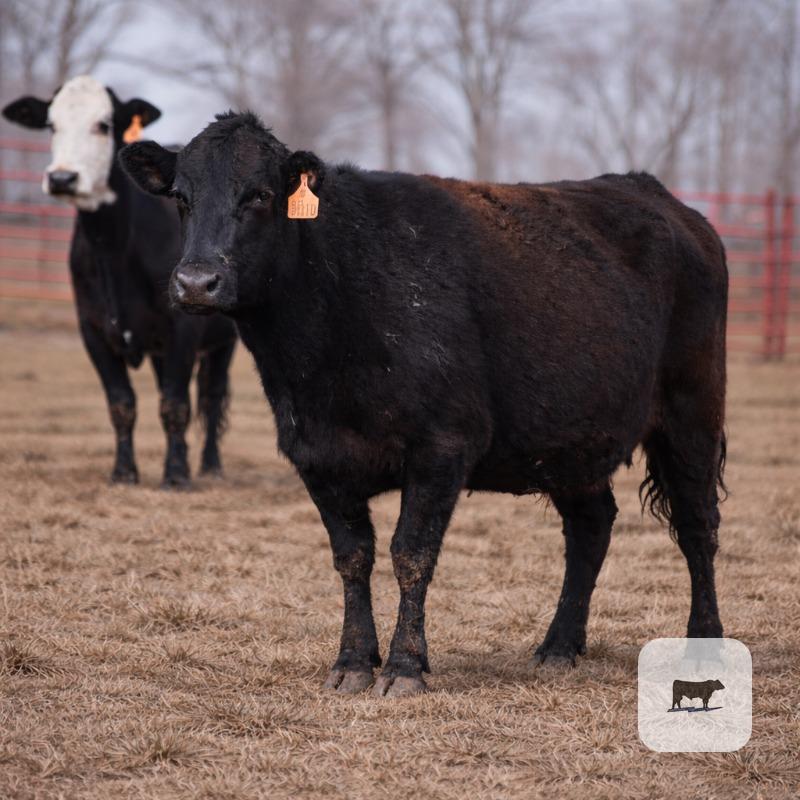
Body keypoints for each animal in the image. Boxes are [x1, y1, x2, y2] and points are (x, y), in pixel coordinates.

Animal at [2, 77, 237, 487]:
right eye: (51, 125)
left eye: (104, 124)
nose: (62, 177)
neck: (113, 247)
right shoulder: (93, 329)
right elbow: (122, 403)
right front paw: (124, 472)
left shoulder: (183, 326)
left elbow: (176, 404)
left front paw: (176, 475)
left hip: (224, 341)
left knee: (211, 396)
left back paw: (210, 466)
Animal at [120, 111, 728, 697]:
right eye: (181, 197)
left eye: (260, 195)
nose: (196, 282)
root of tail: (659, 196)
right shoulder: (316, 455)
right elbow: (352, 557)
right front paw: (352, 663)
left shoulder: (443, 446)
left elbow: (410, 554)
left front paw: (405, 667)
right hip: (572, 441)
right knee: (591, 526)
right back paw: (559, 646)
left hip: (692, 411)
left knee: (697, 526)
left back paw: (704, 642)